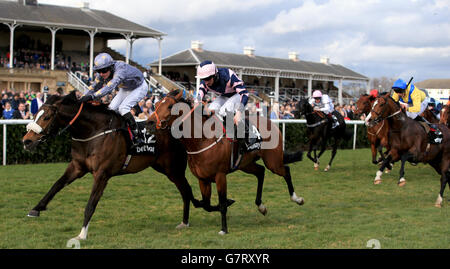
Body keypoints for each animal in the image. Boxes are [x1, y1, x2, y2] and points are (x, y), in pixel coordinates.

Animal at [21, 91, 200, 240]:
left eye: (47, 117)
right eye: (35, 113)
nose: (26, 141)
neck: (93, 133)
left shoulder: (102, 174)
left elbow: (91, 204)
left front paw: (82, 234)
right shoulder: (77, 167)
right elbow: (56, 185)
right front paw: (36, 208)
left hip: (174, 170)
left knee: (186, 191)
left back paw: (186, 221)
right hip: (163, 168)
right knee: (186, 191)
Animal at [149, 89, 304, 232]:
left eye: (170, 106)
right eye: (156, 104)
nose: (150, 122)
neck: (202, 139)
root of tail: (271, 123)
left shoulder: (220, 176)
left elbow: (221, 203)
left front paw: (224, 229)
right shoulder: (202, 179)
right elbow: (205, 204)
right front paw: (227, 203)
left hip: (273, 161)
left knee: (286, 171)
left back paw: (297, 199)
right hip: (245, 164)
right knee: (261, 172)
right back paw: (261, 206)